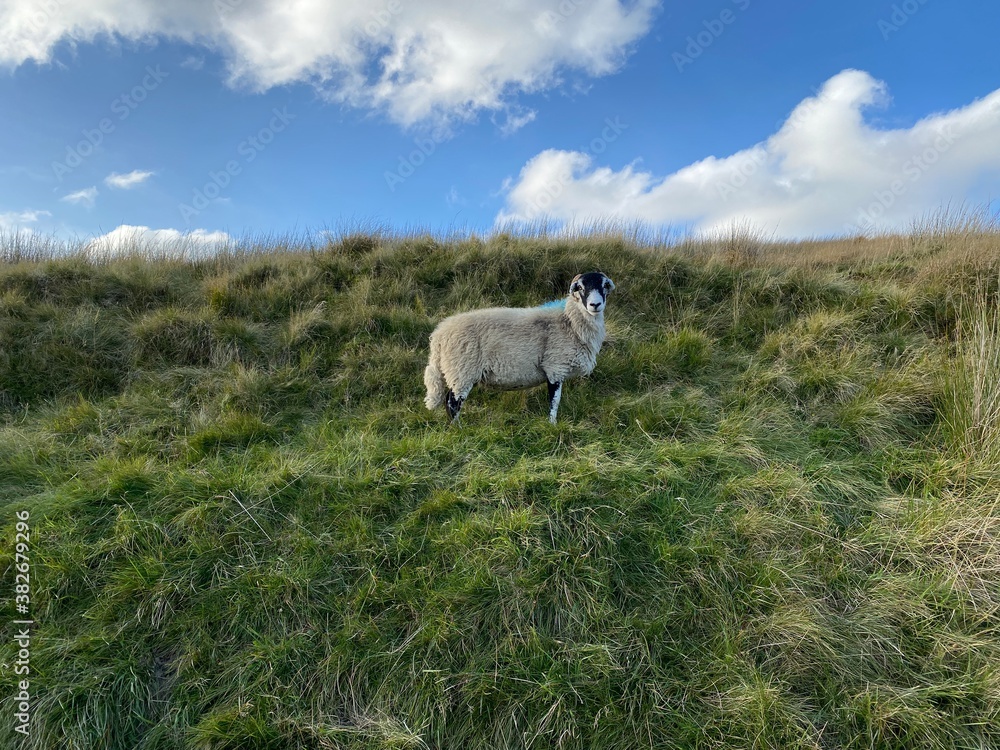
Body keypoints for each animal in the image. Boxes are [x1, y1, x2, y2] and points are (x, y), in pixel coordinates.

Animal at [423, 272, 615, 424]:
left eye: (604, 285)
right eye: (580, 287)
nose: (595, 305)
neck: (569, 321)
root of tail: (439, 335)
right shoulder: (555, 367)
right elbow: (554, 401)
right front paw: (552, 425)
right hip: (461, 370)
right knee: (452, 402)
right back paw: (457, 428)